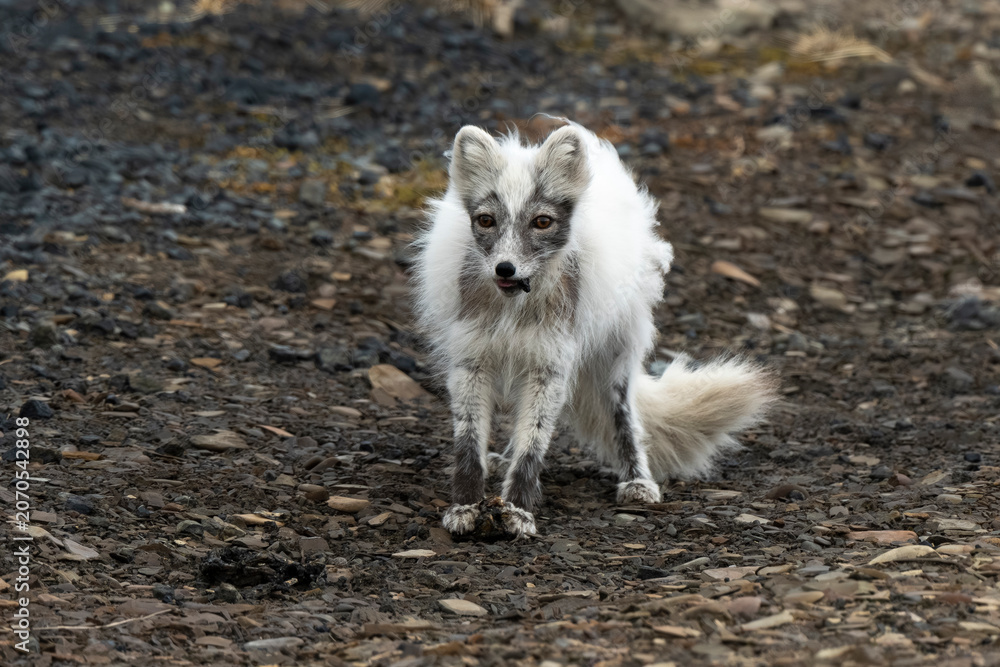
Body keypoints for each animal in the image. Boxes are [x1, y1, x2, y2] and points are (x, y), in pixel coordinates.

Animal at [412, 120, 777, 537]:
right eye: (486, 220)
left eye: (542, 222)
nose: (505, 269)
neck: (514, 309)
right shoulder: (471, 362)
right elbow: (470, 443)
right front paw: (466, 506)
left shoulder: (552, 366)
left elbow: (533, 444)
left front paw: (519, 511)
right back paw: (501, 461)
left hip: (614, 359)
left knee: (624, 416)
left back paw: (637, 480)